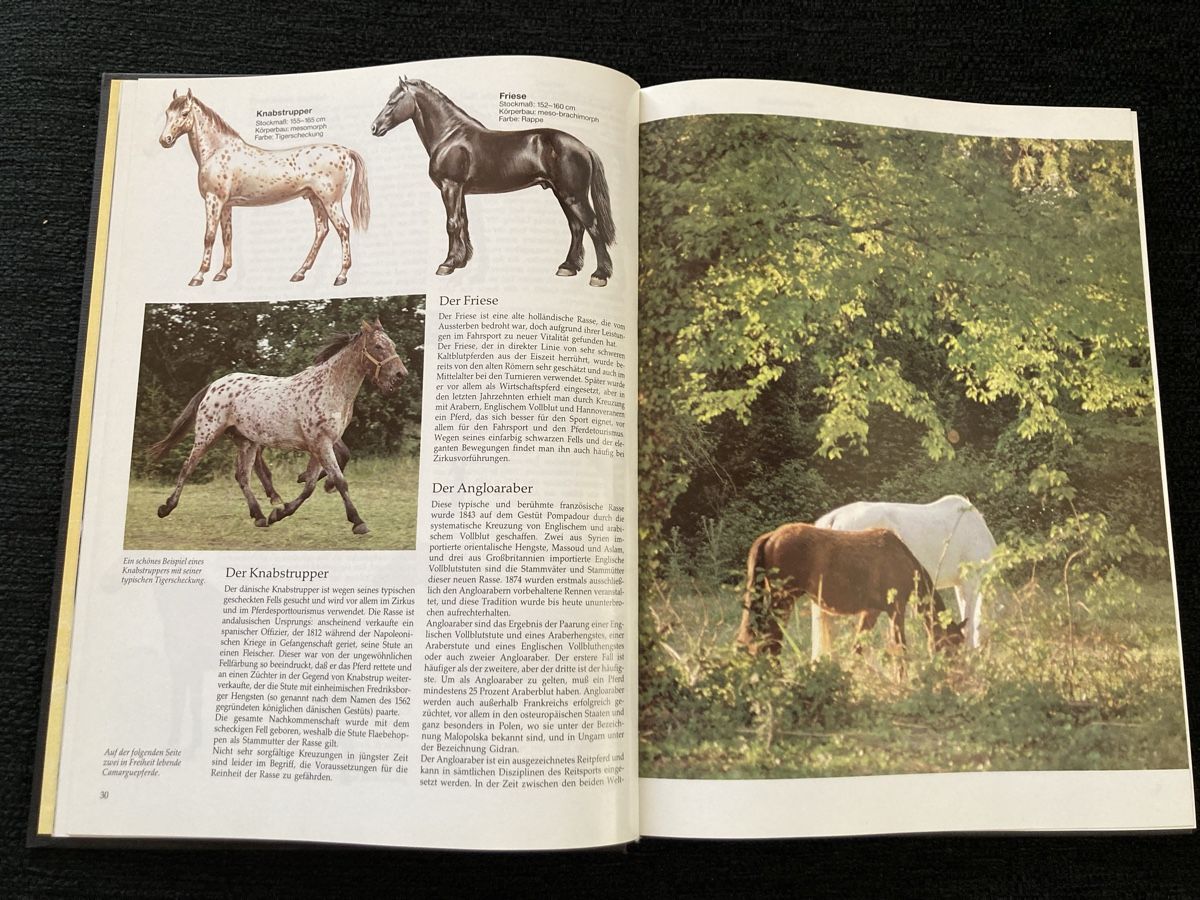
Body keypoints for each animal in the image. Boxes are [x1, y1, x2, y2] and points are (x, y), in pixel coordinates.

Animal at [148, 319, 407, 535]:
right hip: (207, 435)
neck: (330, 388)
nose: (400, 375)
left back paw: (260, 516)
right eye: (378, 346)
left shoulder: (320, 446)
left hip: (248, 442)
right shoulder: (321, 444)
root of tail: (213, 385)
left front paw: (279, 513)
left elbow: (310, 486)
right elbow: (339, 480)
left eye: (393, 345)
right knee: (187, 468)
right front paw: (358, 522)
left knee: (243, 476)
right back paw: (166, 507)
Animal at [159, 89, 371, 287]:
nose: (164, 140)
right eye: (167, 113)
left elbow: (209, 236)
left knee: (343, 229)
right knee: (322, 231)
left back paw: (341, 275)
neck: (217, 151)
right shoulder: (226, 205)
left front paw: (199, 276)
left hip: (330, 201)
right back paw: (299, 273)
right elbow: (227, 236)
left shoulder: (214, 200)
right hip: (315, 199)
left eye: (185, 113)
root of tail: (346, 151)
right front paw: (222, 273)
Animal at [369, 77, 615, 286]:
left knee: (592, 226)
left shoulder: (450, 187)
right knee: (576, 227)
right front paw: (461, 261)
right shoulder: (460, 190)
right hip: (562, 194)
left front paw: (447, 264)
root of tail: (584, 147)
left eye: (392, 101)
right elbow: (463, 223)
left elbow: (452, 224)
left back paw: (599, 275)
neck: (450, 136)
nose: (374, 127)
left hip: (573, 195)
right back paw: (568, 267)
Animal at [736, 524, 965, 665]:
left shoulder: (871, 612)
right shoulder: (896, 609)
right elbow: (900, 649)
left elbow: (857, 648)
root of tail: (770, 537)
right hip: (783, 601)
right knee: (771, 640)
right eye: (953, 645)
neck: (903, 560)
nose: (958, 676)